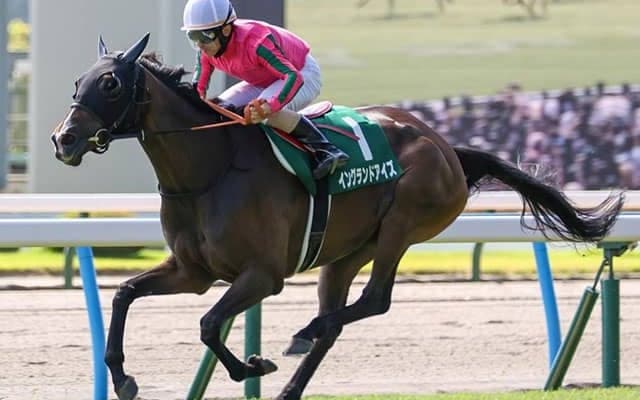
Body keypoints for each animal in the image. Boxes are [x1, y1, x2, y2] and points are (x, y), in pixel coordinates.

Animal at [51, 33, 622, 400]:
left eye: (110, 85)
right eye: (78, 81)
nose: (64, 139)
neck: (209, 172)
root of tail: (446, 147)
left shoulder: (263, 275)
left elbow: (210, 323)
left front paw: (252, 364)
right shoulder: (192, 272)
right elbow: (125, 295)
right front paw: (123, 378)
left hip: (402, 227)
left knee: (373, 301)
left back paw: (304, 331)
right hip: (344, 252)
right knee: (339, 318)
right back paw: (295, 374)